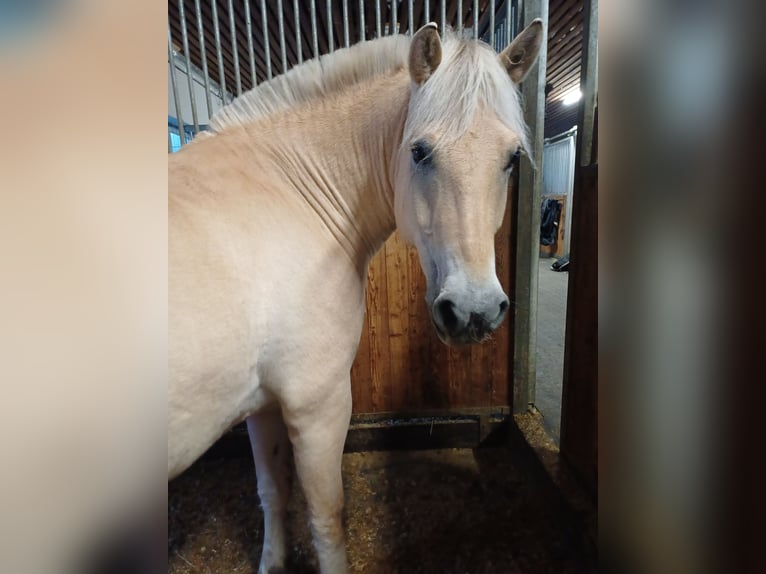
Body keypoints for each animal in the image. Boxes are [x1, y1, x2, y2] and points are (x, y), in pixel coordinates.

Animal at [169, 20, 543, 573]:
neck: (291, 193)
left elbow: (272, 492)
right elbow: (328, 518)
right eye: (419, 151)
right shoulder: (318, 403)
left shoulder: (263, 405)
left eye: (512, 158)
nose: (473, 312)